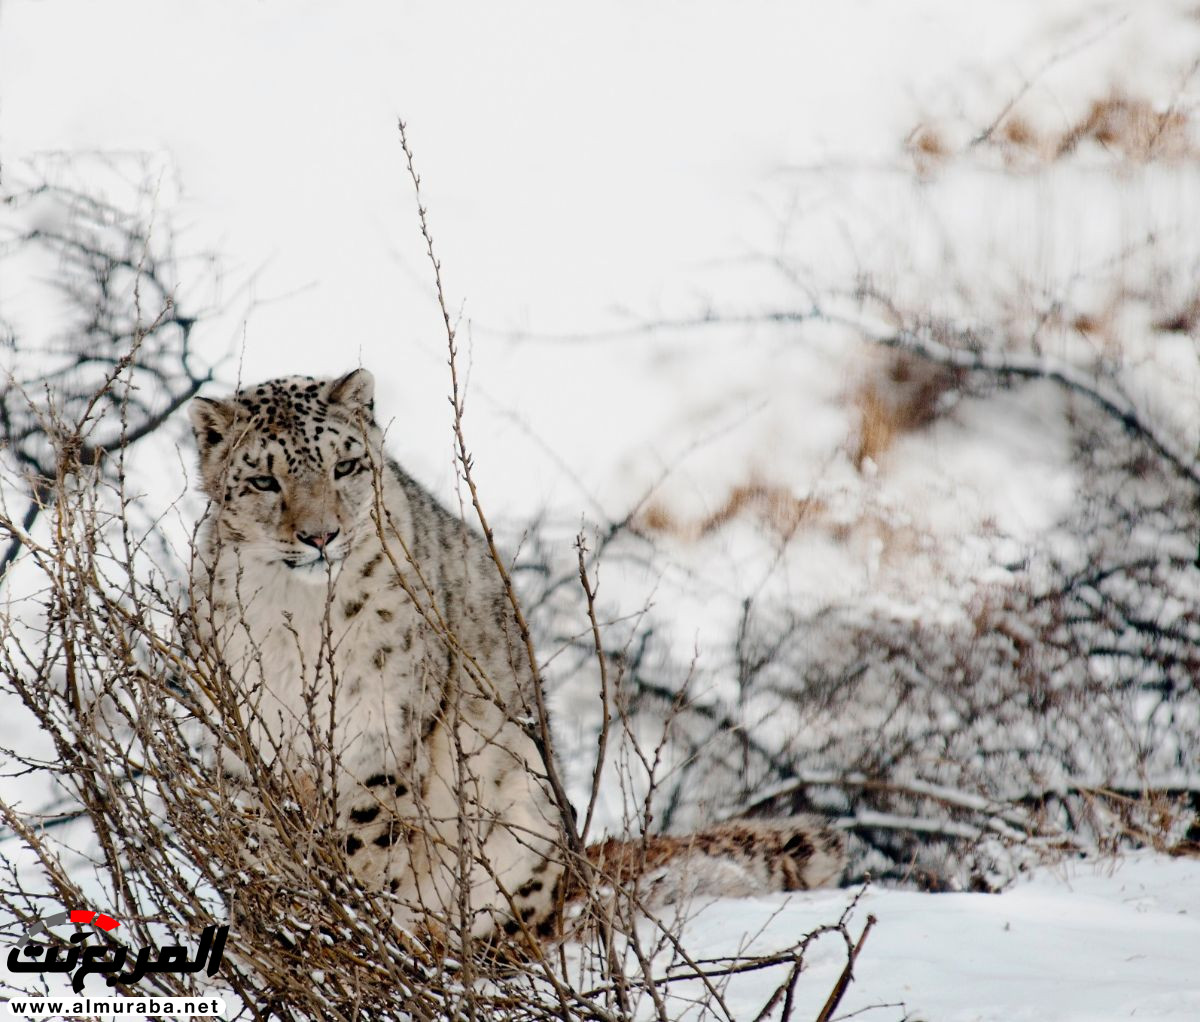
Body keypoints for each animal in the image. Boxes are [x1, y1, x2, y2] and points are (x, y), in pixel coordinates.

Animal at [187, 371, 844, 945]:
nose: (321, 536)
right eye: (264, 481)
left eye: (344, 465)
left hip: (522, 813)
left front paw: (358, 931)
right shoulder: (243, 741)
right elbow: (256, 842)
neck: (293, 621)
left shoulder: (378, 733)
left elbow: (367, 844)